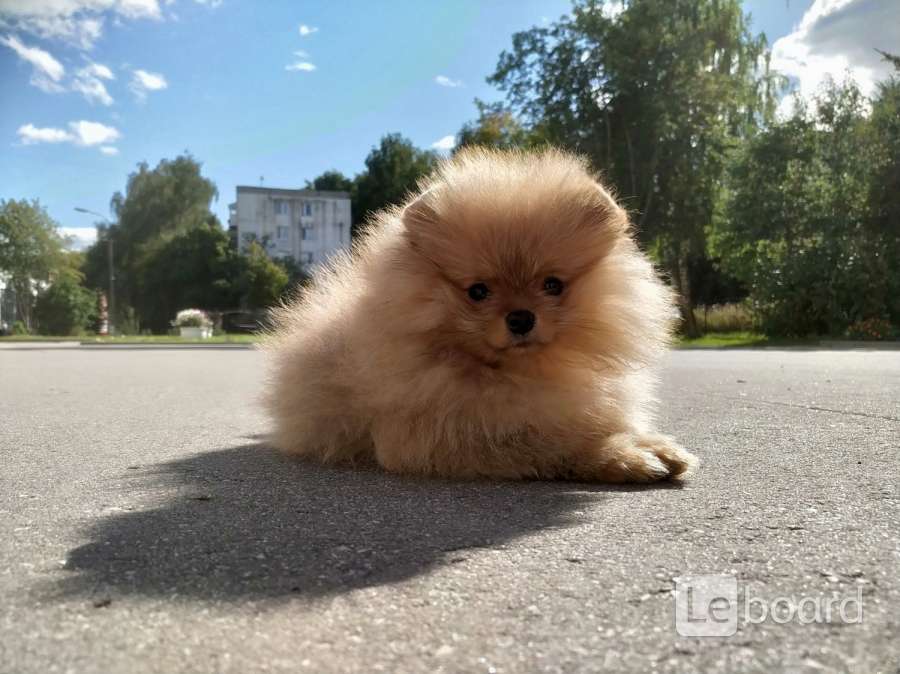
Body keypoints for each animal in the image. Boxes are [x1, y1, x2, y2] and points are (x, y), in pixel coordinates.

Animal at [264, 150, 700, 480]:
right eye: (478, 291)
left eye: (552, 284)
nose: (521, 317)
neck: (514, 373)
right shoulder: (446, 431)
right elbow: (558, 440)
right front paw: (625, 455)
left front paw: (650, 443)